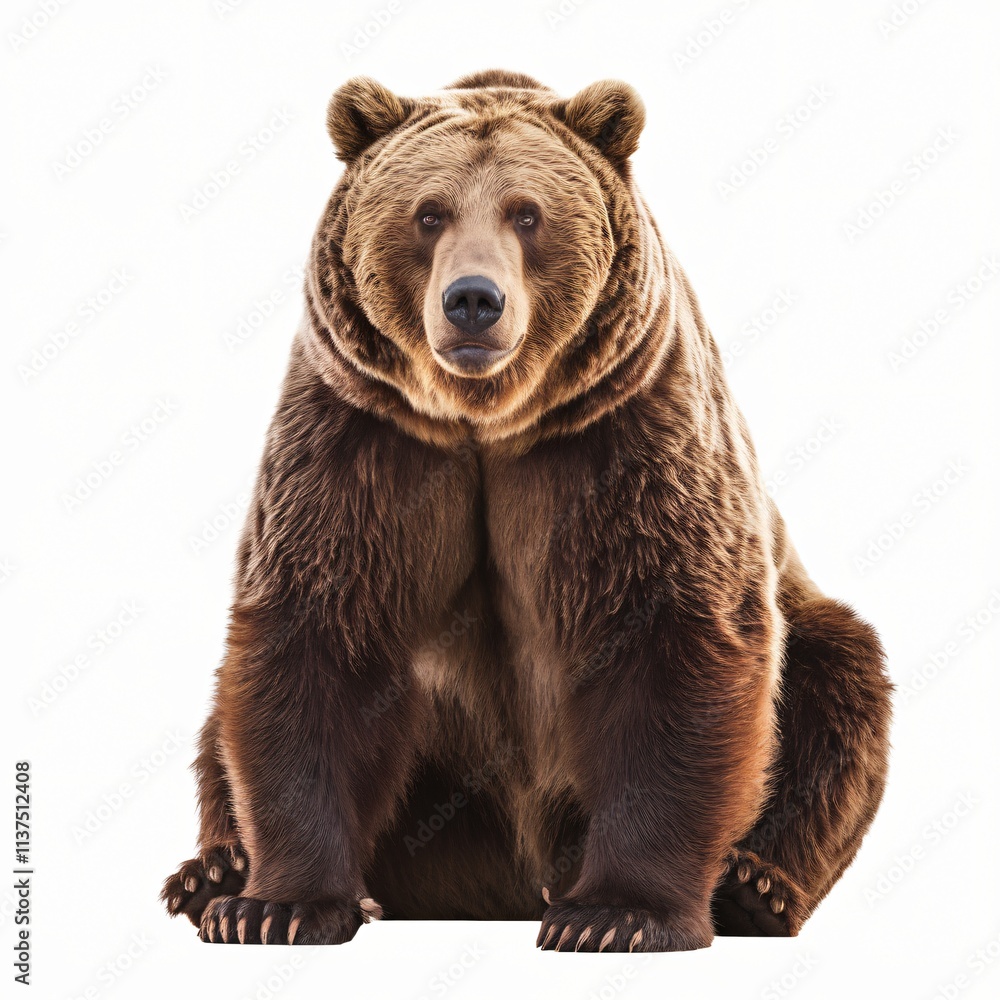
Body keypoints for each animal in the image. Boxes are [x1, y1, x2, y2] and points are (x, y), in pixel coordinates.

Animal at [161, 69, 892, 952]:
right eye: (429, 212)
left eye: (527, 213)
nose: (473, 300)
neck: (486, 419)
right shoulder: (363, 439)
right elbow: (317, 634)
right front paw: (277, 906)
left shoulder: (623, 437)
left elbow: (671, 638)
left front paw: (616, 914)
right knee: (217, 733)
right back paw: (210, 872)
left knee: (837, 684)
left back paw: (753, 887)